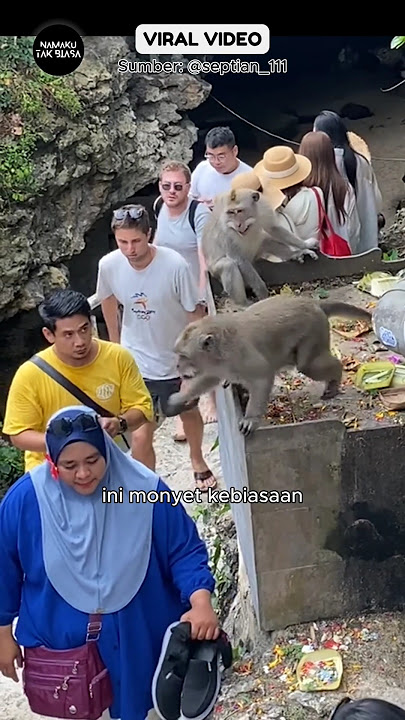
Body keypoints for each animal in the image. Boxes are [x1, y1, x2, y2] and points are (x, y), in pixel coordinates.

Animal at [164, 294, 372, 436]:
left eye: (183, 355)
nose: (178, 367)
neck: (220, 352)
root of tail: (313, 303)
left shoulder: (240, 355)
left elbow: (262, 377)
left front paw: (250, 419)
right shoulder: (217, 364)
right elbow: (209, 379)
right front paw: (178, 398)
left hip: (314, 329)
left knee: (307, 365)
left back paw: (335, 377)